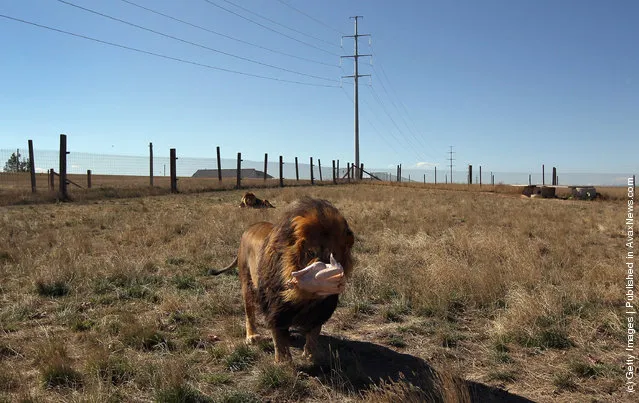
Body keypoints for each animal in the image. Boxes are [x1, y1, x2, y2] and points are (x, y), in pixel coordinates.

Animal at [214, 198, 356, 362]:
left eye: (333, 255)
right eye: (310, 252)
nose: (324, 273)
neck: (305, 295)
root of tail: (249, 228)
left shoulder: (320, 309)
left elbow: (314, 333)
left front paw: (311, 356)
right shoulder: (276, 305)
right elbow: (279, 333)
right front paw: (283, 361)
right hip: (247, 283)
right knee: (249, 312)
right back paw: (252, 336)